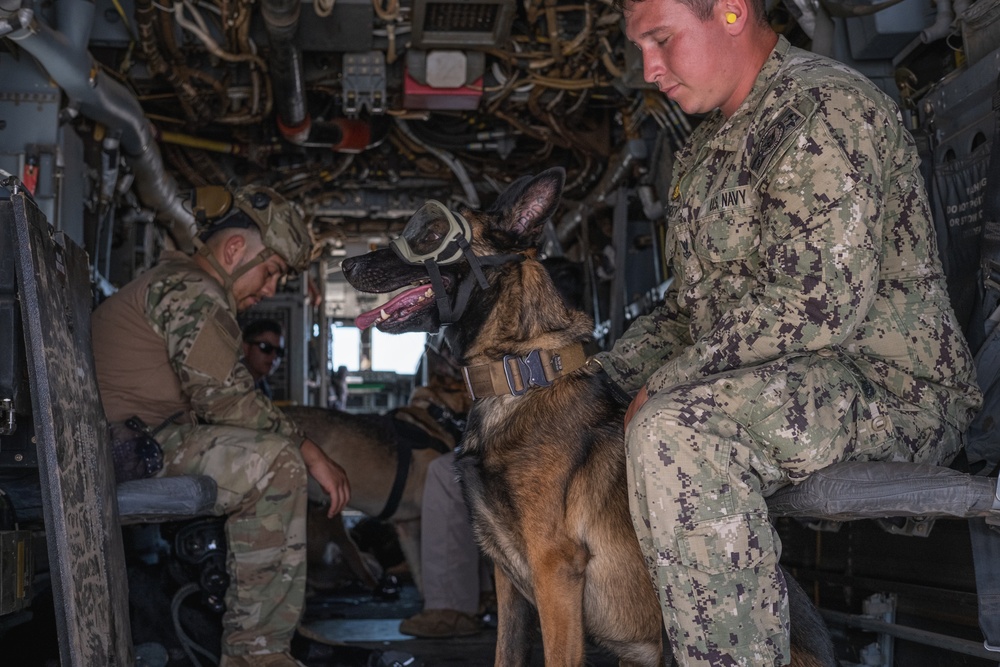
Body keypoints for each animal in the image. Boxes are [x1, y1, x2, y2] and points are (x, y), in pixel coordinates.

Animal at [342, 168, 836, 667]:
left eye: (430, 233)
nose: (347, 265)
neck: (520, 375)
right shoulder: (506, 577)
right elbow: (506, 653)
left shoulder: (553, 570)